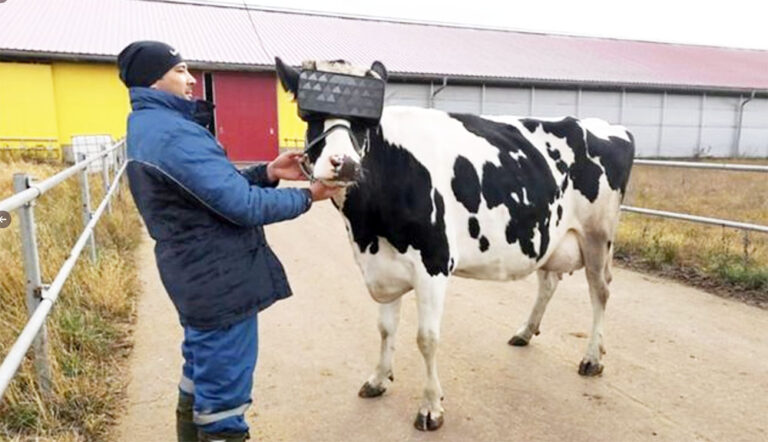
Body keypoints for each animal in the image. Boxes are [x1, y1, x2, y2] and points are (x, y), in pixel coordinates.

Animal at [275, 58, 635, 431]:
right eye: (310, 117)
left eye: (366, 123)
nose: (343, 163)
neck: (367, 229)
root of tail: (607, 126)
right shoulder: (383, 266)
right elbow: (386, 329)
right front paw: (378, 379)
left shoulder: (433, 263)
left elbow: (427, 338)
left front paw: (431, 407)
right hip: (549, 235)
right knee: (548, 281)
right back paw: (525, 332)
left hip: (598, 235)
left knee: (600, 291)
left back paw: (592, 358)